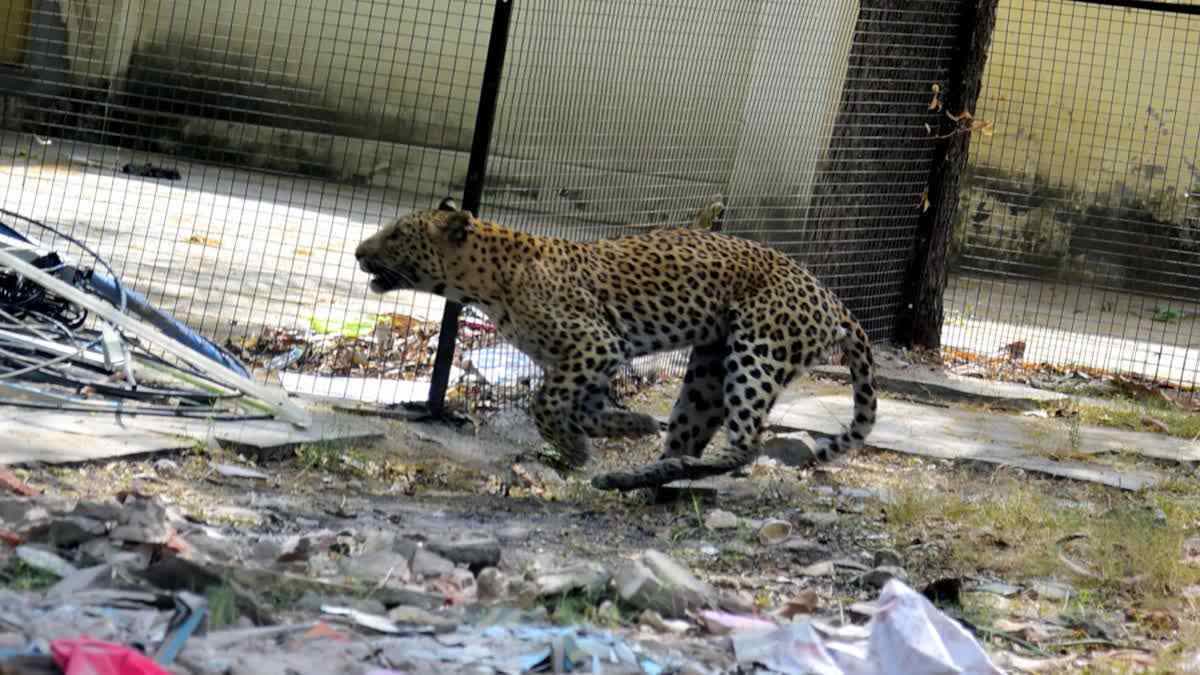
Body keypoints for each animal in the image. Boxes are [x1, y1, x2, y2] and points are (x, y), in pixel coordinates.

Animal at [350, 195, 878, 487]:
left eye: (397, 233)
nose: (356, 251)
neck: (482, 284)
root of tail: (833, 299)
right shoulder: (584, 360)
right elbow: (583, 407)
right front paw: (625, 425)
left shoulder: (594, 344)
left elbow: (543, 404)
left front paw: (575, 448)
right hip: (707, 375)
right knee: (692, 439)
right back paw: (639, 475)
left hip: (757, 353)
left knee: (747, 444)